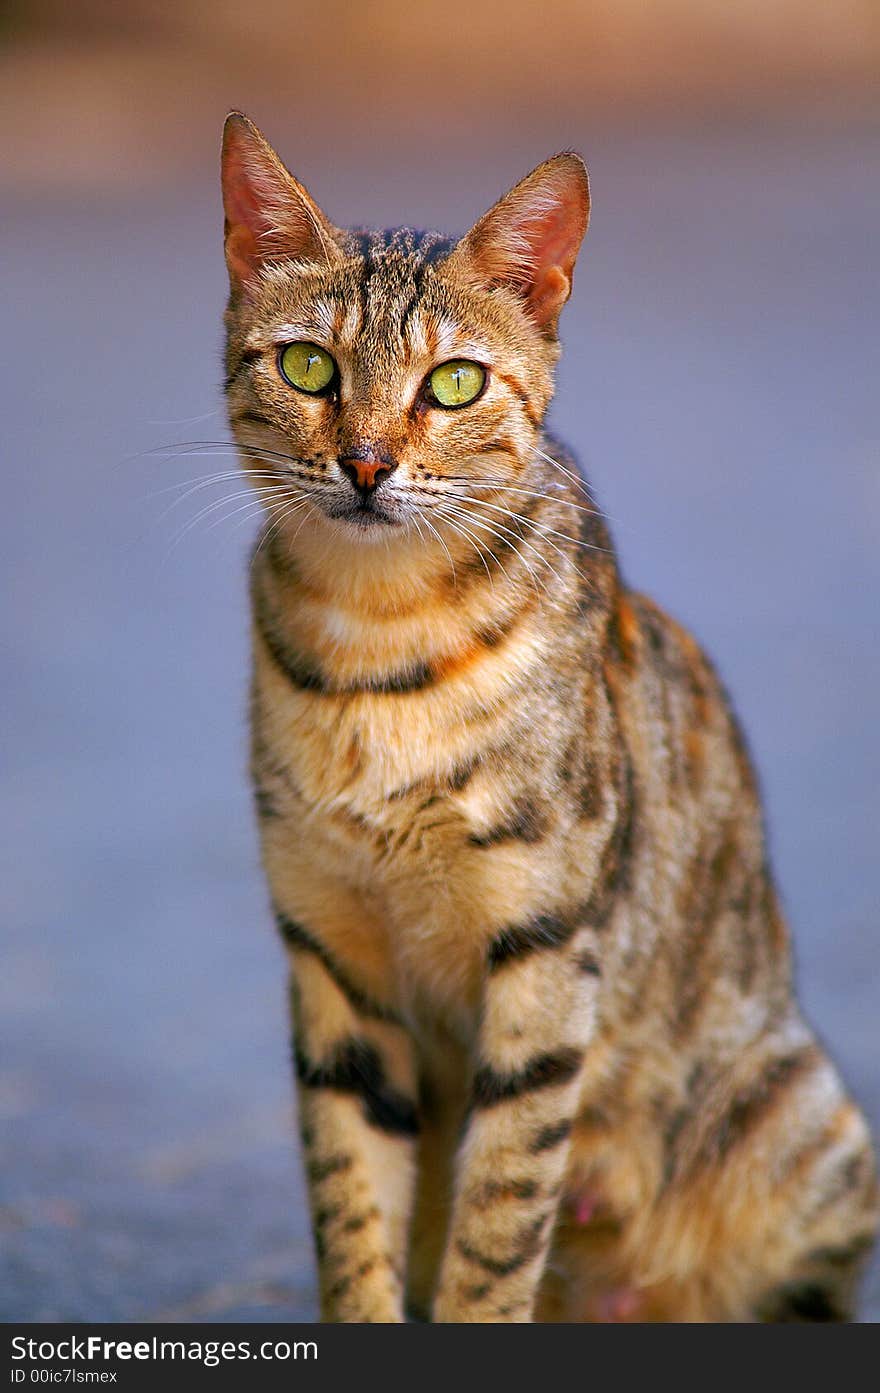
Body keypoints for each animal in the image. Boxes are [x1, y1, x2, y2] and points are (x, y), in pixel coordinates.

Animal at [217, 114, 874, 1320]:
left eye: (454, 382)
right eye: (307, 365)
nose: (366, 462)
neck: (375, 639)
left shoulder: (545, 946)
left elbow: (497, 1218)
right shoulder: (331, 955)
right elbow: (353, 1209)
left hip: (798, 1120)